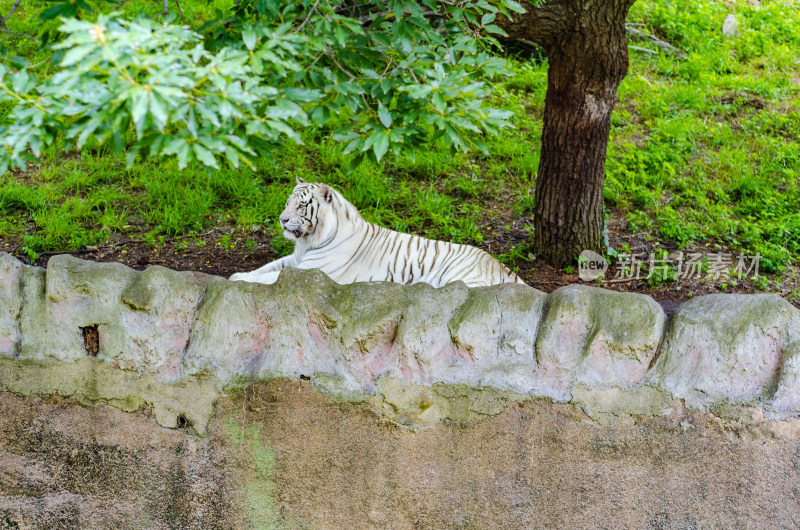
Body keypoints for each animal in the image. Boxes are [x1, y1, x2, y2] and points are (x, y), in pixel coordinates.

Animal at [227, 177, 524, 286]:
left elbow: (271, 277)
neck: (309, 241)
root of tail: (505, 268)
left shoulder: (310, 270)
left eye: (300, 205)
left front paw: (237, 279)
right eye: (287, 202)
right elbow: (267, 267)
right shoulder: (295, 259)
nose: (282, 219)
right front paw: (238, 274)